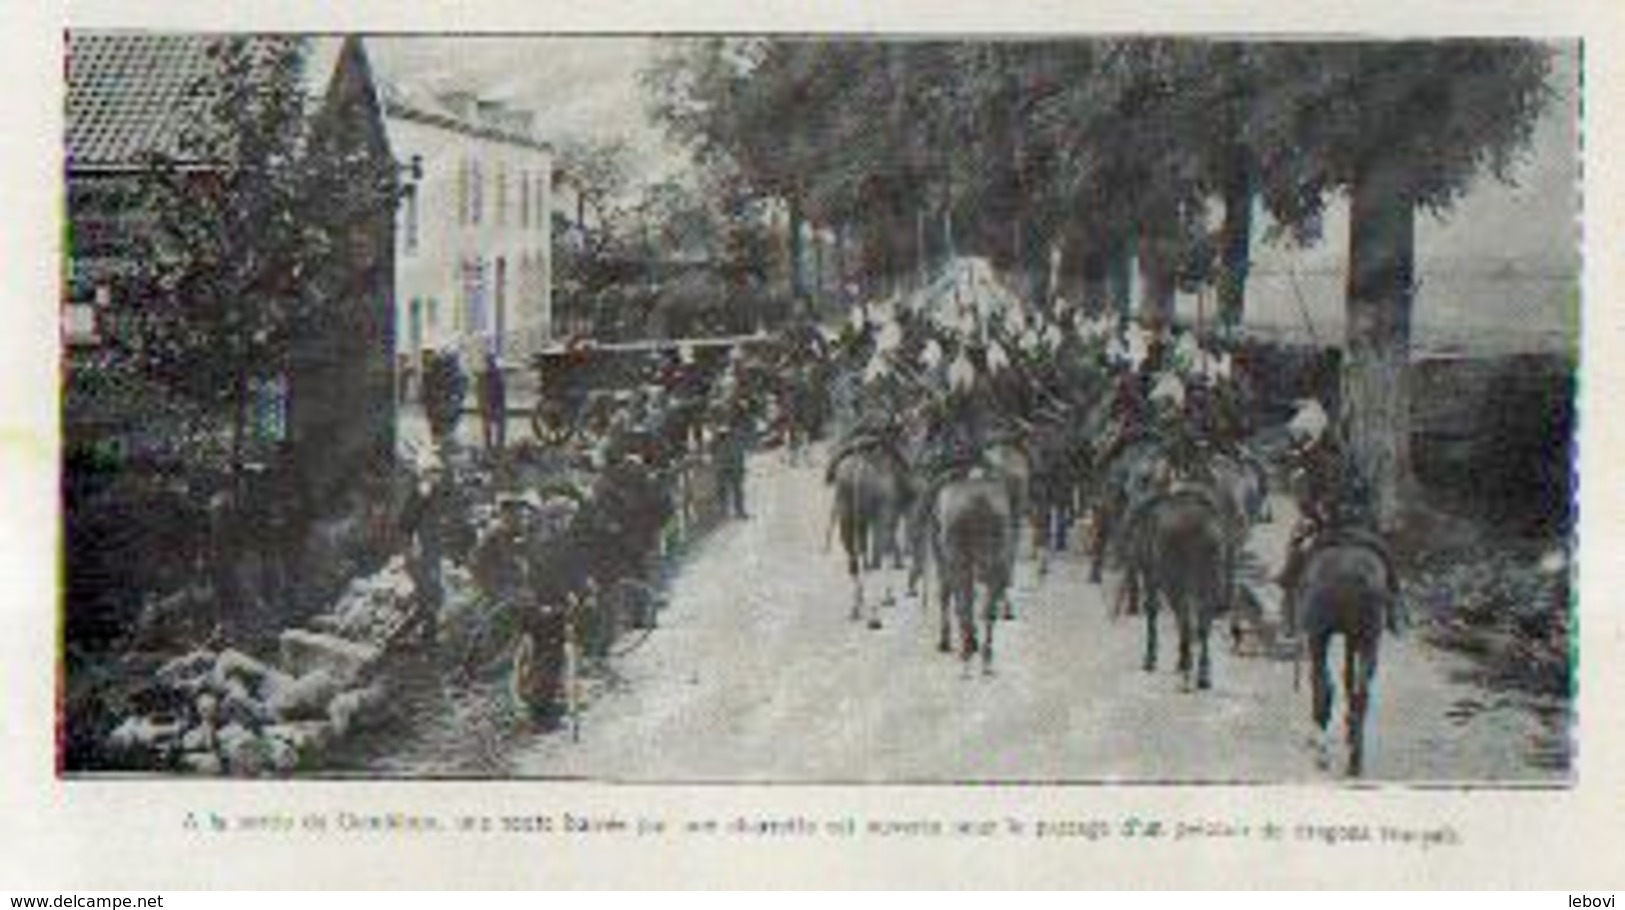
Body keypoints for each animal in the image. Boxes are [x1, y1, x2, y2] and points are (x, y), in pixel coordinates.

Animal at [832, 445, 910, 630]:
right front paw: (889, 596)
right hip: (877, 520)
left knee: (855, 562)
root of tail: (859, 471)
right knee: (875, 562)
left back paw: (855, 608)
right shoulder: (887, 518)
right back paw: (875, 617)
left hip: (847, 519)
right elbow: (887, 554)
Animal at [929, 477, 1014, 676]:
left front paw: (946, 642)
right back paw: (986, 655)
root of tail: (978, 502)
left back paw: (967, 650)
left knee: (962, 604)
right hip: (995, 561)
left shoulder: (945, 564)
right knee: (988, 609)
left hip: (959, 562)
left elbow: (948, 598)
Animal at [1131, 490, 1228, 689]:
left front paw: (1151, 659)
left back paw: (1188, 670)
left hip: (1176, 580)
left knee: (1186, 619)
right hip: (1212, 580)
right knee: (1203, 623)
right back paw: (1203, 674)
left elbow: (1153, 612)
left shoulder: (1150, 575)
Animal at [1293, 539, 1397, 773]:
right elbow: (1348, 676)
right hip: (1368, 640)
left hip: (1318, 637)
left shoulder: (1318, 635)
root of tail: (1354, 576)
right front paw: (1349, 730)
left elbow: (1326, 682)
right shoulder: (1354, 638)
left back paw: (1323, 751)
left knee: (1322, 684)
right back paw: (1355, 761)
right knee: (1362, 694)